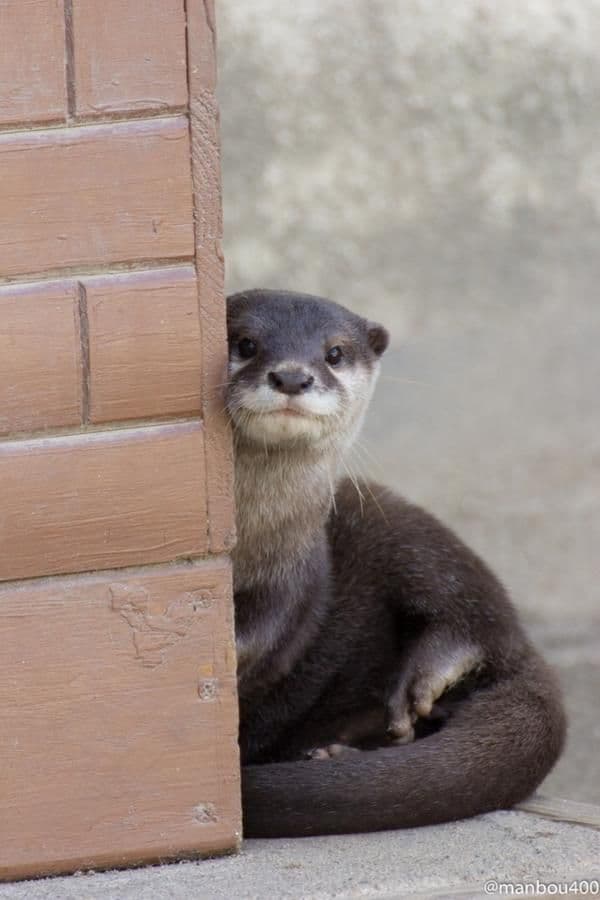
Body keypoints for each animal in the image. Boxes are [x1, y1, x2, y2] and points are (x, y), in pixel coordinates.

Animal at [226, 288, 566, 838]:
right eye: (245, 343)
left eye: (335, 352)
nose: (293, 377)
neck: (249, 537)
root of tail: (530, 654)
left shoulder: (296, 572)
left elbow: (264, 637)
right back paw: (332, 752)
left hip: (396, 523)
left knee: (477, 611)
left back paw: (427, 675)